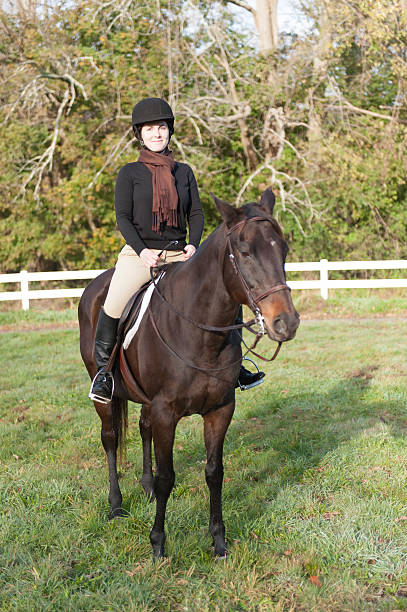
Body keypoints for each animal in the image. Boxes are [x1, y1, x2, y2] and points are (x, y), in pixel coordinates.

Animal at [78, 190, 300, 560]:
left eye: (282, 250)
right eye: (244, 252)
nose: (286, 322)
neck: (198, 332)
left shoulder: (220, 410)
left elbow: (214, 472)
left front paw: (219, 542)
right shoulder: (167, 412)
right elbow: (168, 477)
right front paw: (157, 544)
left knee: (143, 429)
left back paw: (145, 488)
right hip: (105, 396)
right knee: (110, 438)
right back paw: (116, 506)